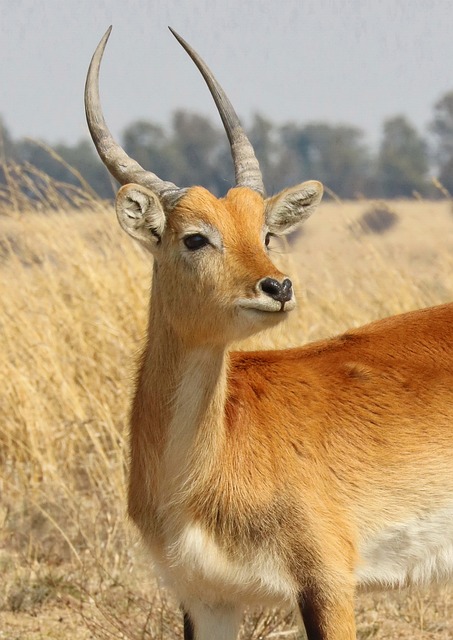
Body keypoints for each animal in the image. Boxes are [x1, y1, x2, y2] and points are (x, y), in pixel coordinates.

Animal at [85, 26, 452, 640]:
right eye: (195, 237)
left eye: (265, 232)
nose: (277, 286)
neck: (196, 476)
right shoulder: (205, 597)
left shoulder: (328, 581)